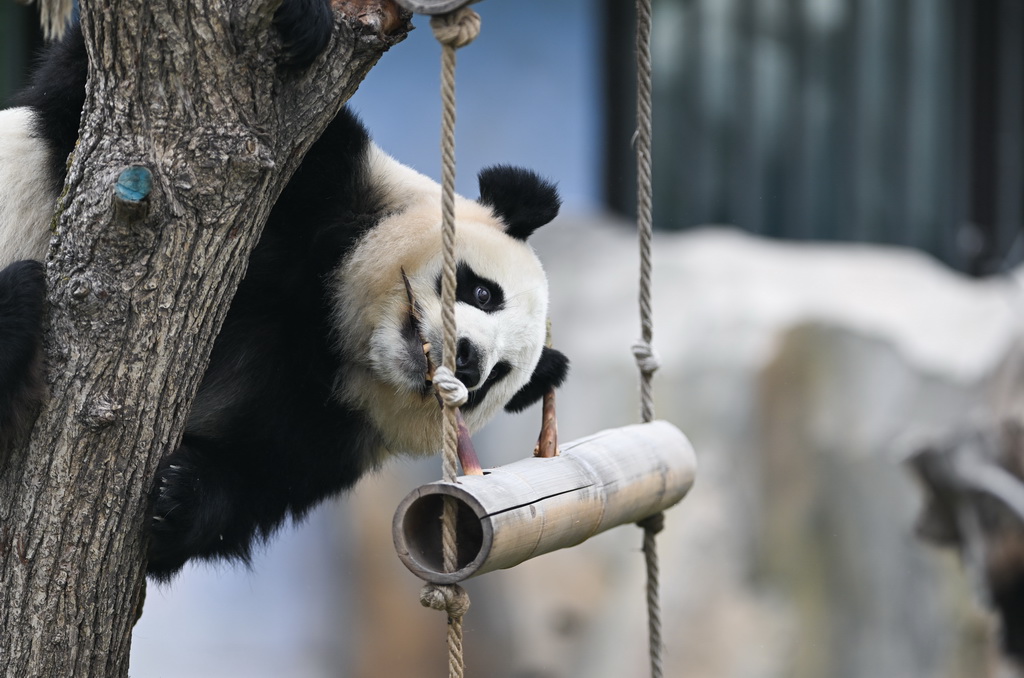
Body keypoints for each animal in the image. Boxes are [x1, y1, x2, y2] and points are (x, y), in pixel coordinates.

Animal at [0, 3, 569, 577]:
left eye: (495, 377)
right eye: (484, 293)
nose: (470, 361)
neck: (332, 325)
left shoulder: (324, 427)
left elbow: (247, 490)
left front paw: (180, 497)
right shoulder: (323, 185)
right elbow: (84, 107)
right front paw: (301, 21)